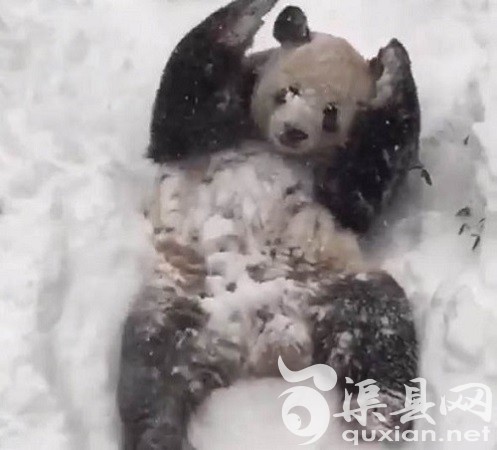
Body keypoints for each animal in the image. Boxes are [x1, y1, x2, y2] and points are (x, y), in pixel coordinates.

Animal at [118, 1, 420, 448]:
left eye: (331, 114)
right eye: (287, 92)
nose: (294, 131)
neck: (276, 146)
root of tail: (269, 343)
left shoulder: (341, 192)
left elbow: (362, 194)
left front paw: (393, 67)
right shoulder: (224, 117)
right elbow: (176, 120)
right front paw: (250, 15)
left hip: (335, 288)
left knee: (380, 334)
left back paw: (378, 421)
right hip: (184, 299)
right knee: (151, 369)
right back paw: (159, 434)